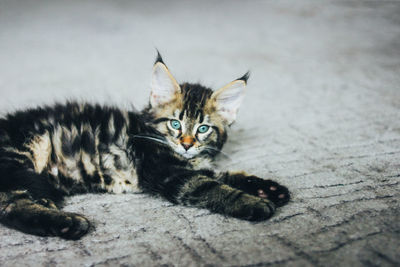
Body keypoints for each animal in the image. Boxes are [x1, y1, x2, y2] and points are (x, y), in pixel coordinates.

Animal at [0, 53, 290, 240]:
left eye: (203, 129)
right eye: (175, 123)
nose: (187, 144)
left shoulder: (189, 167)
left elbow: (226, 175)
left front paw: (269, 188)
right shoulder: (170, 173)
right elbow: (214, 187)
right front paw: (254, 203)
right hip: (21, 152)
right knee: (10, 206)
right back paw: (67, 223)